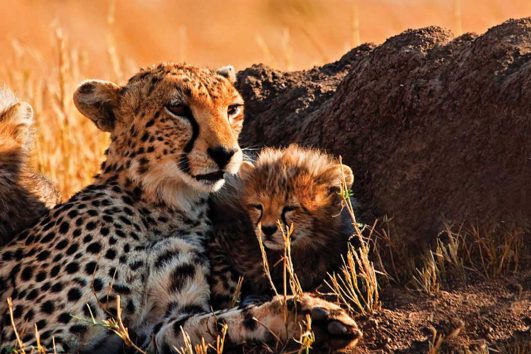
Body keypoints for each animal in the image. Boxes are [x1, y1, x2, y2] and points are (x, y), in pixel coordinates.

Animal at [0, 65, 362, 352]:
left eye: (232, 109)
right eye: (177, 108)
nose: (225, 153)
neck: (167, 208)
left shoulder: (156, 327)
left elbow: (216, 323)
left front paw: (308, 316)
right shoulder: (28, 339)